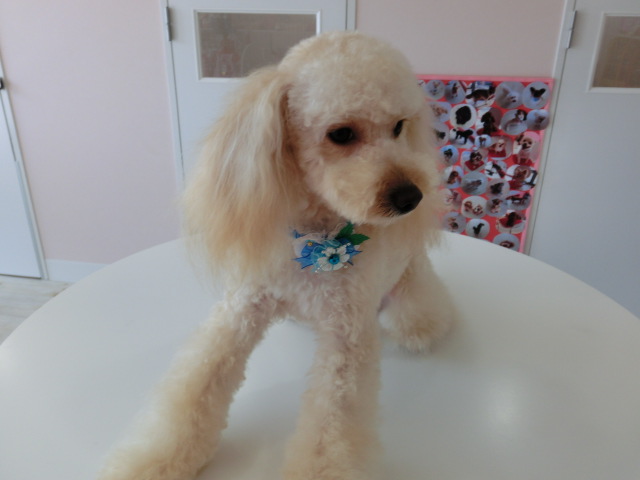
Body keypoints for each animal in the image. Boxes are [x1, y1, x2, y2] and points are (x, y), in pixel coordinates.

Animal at [96, 32, 454, 480]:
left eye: (398, 127)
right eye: (341, 134)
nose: (410, 197)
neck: (317, 239)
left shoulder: (346, 338)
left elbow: (331, 431)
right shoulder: (241, 309)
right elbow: (195, 388)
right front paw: (158, 459)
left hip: (411, 290)